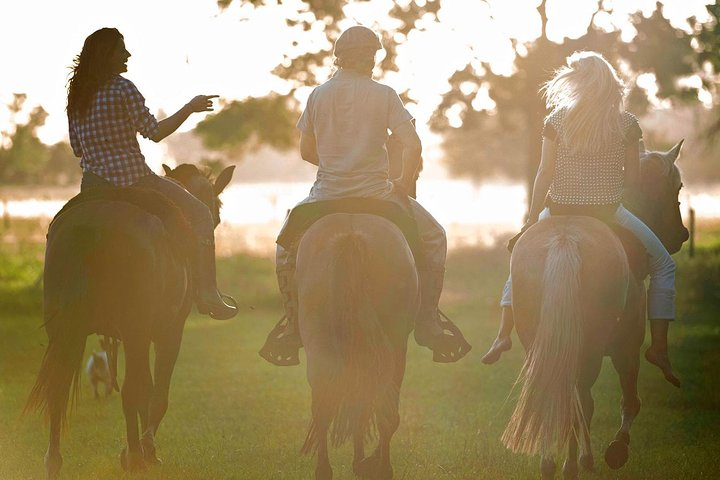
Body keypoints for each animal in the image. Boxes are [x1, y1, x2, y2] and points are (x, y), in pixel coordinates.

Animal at [23, 164, 233, 476]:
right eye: (215, 211)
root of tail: (93, 225)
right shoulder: (167, 332)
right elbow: (156, 392)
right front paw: (147, 450)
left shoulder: (139, 336)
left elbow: (146, 386)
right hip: (133, 330)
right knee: (131, 390)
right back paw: (134, 456)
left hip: (64, 332)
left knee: (57, 390)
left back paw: (54, 462)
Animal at [296, 215, 420, 480]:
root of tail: (351, 236)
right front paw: (364, 461)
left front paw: (361, 461)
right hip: (392, 349)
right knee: (381, 412)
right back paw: (382, 469)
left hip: (322, 347)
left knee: (326, 407)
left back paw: (326, 470)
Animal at [500, 141, 688, 478]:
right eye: (677, 186)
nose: (682, 235)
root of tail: (565, 240)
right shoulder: (628, 348)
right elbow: (630, 401)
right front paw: (617, 449)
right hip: (589, 350)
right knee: (580, 401)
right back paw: (574, 464)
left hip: (540, 343)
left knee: (555, 395)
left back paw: (551, 464)